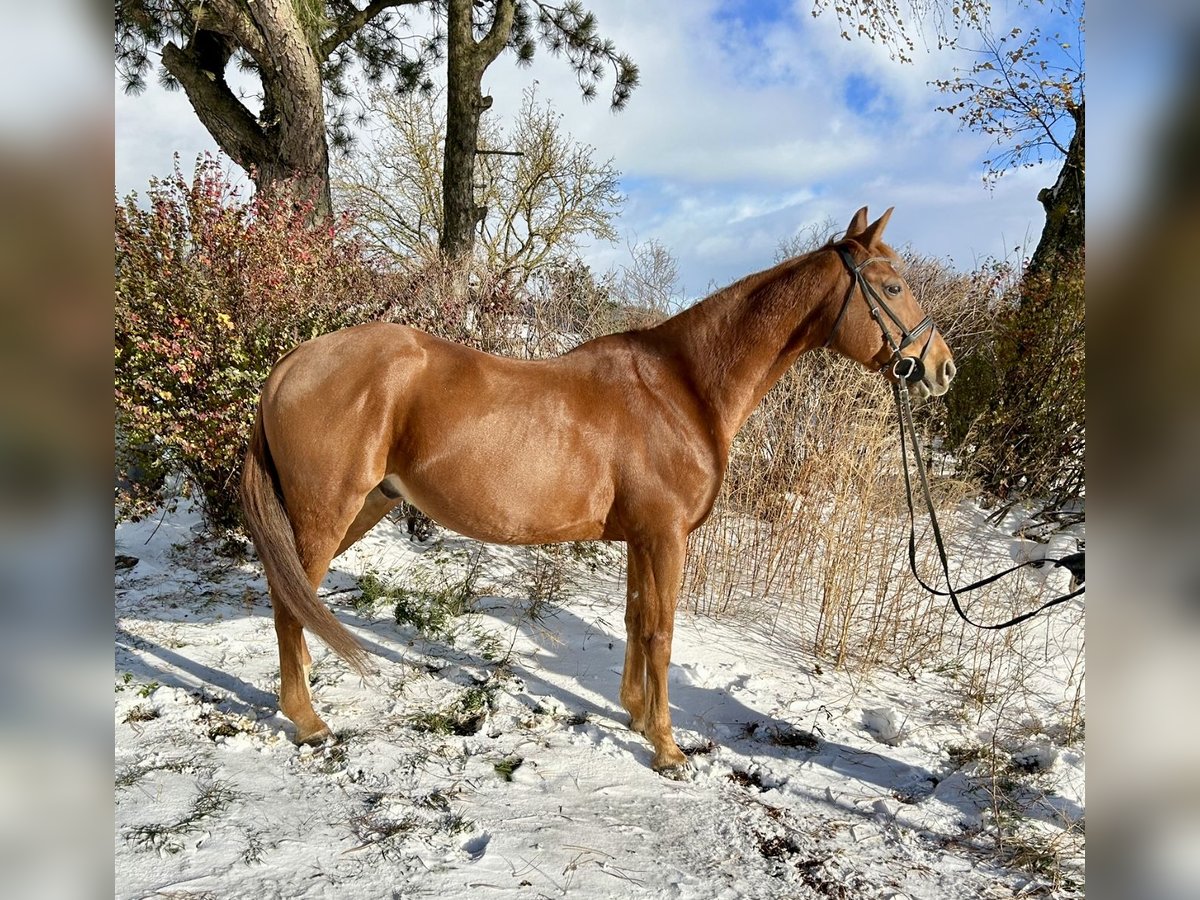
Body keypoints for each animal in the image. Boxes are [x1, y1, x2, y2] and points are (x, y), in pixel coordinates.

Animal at [241, 206, 955, 777]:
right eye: (892, 286)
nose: (941, 368)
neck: (682, 388)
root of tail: (289, 365)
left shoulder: (643, 538)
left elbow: (638, 621)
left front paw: (636, 715)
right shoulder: (665, 537)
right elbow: (662, 632)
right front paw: (667, 750)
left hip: (363, 506)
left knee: (295, 598)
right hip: (326, 513)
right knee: (289, 602)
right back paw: (307, 719)